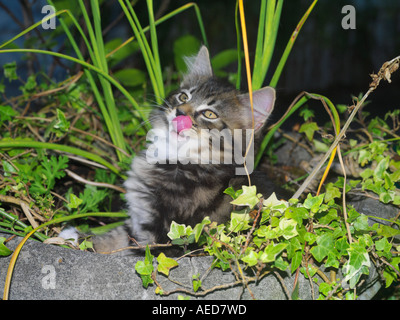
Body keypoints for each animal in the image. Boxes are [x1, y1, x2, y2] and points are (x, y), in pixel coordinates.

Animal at [59, 45, 284, 255]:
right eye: (183, 97)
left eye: (210, 114)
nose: (179, 112)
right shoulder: (138, 223)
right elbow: (115, 238)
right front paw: (74, 237)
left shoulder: (163, 240)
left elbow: (125, 250)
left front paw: (78, 238)